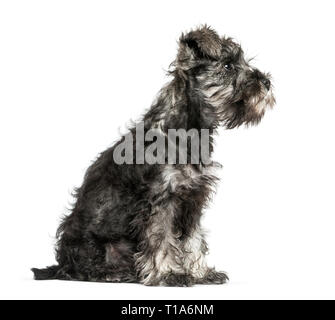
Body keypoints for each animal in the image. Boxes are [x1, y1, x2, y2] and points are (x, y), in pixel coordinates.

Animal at [32, 26, 276, 286]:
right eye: (228, 66)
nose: (267, 82)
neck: (188, 129)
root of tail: (58, 264)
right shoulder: (161, 201)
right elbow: (161, 239)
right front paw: (169, 274)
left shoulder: (193, 201)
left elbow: (194, 240)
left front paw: (200, 273)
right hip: (93, 245)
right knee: (81, 268)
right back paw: (113, 273)